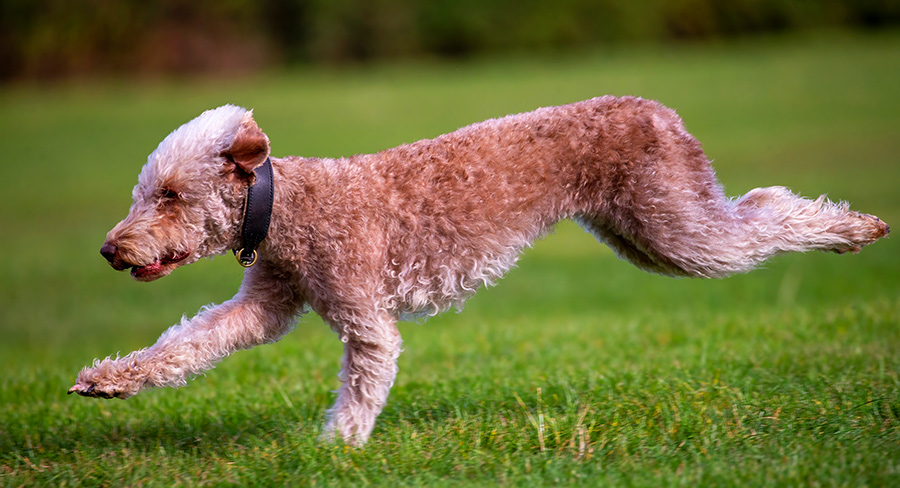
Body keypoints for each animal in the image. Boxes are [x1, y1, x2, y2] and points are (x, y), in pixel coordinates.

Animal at [67, 96, 888, 446]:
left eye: (170, 195)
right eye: (146, 193)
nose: (110, 250)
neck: (285, 207)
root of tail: (655, 105)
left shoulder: (364, 313)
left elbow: (362, 383)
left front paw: (335, 450)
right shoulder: (269, 300)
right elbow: (190, 343)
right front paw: (108, 380)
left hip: (675, 226)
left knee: (770, 212)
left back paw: (858, 231)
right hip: (644, 230)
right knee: (757, 208)